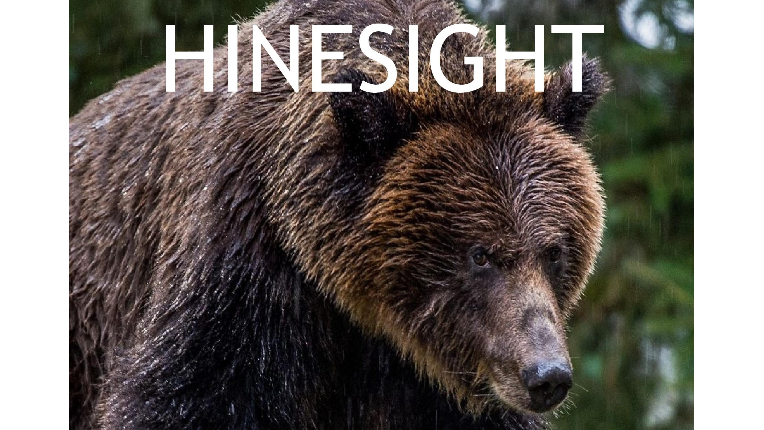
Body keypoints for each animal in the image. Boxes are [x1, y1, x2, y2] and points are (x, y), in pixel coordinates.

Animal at [68, 0, 608, 429]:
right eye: (480, 255)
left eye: (554, 250)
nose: (546, 375)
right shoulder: (242, 275)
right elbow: (181, 395)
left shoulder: (423, 384)